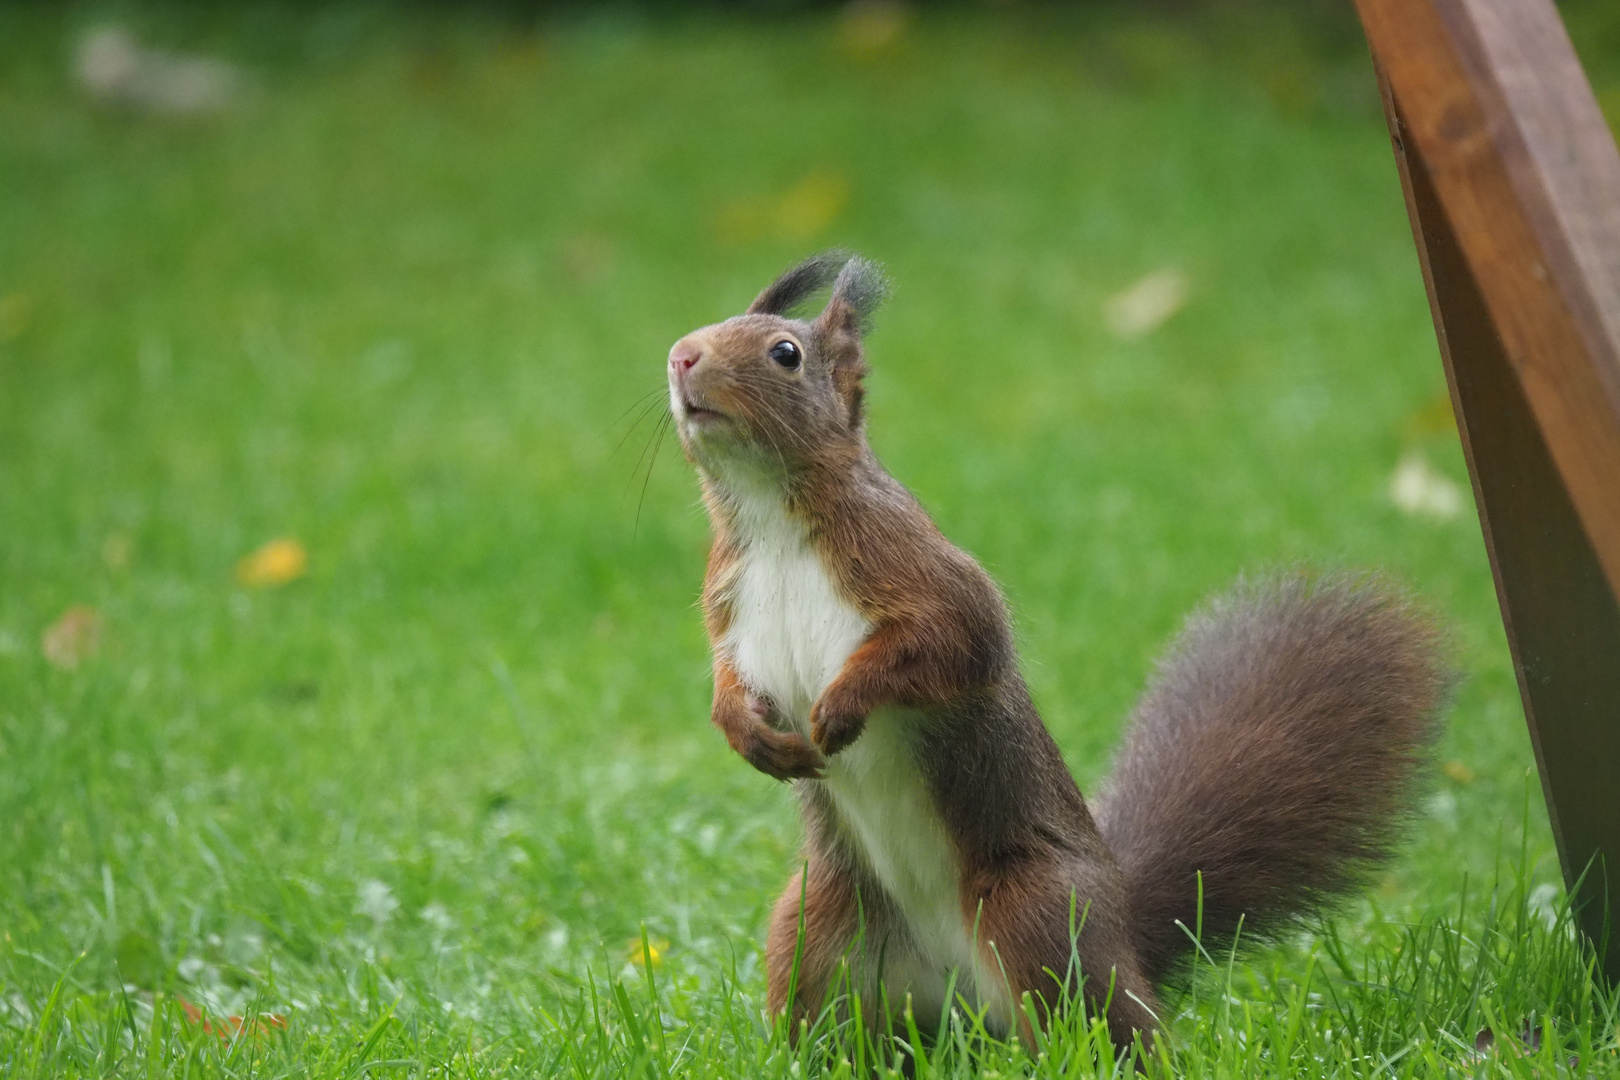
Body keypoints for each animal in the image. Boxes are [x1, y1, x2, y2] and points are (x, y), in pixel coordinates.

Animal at [664, 250, 1451, 1049]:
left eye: (785, 354)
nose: (680, 355)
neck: (771, 514)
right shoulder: (727, 604)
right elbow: (728, 679)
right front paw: (747, 732)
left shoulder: (916, 568)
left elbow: (956, 646)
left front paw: (842, 706)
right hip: (815, 927)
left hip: (1035, 913)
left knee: (1107, 1023)